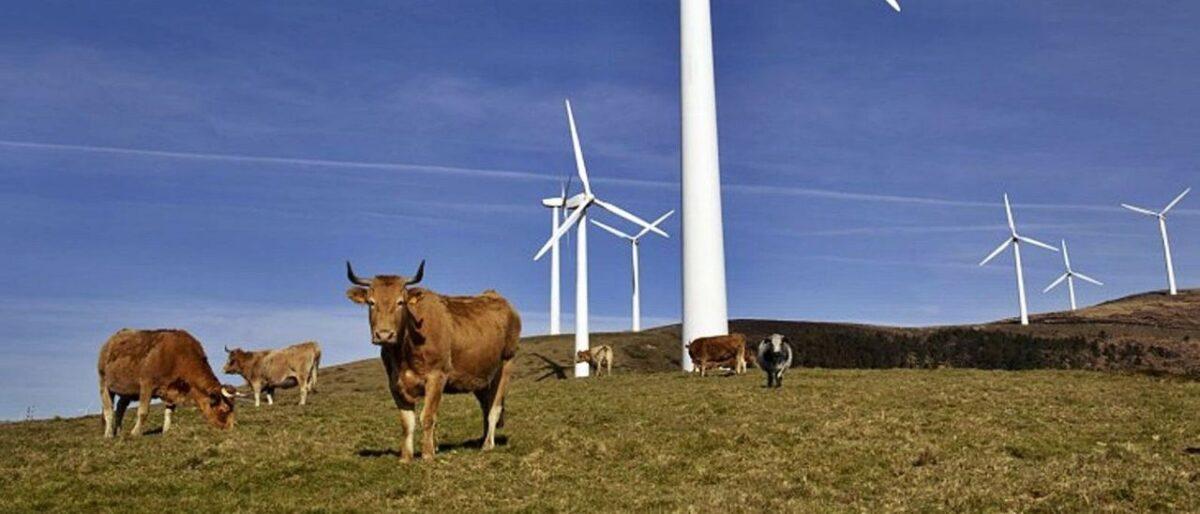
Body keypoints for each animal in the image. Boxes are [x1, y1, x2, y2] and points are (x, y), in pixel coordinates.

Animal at [97, 329, 237, 437]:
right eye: (224, 410)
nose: (230, 428)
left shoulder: (171, 390)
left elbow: (169, 412)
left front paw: (166, 431)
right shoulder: (147, 385)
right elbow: (143, 412)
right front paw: (135, 432)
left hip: (128, 390)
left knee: (120, 407)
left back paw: (119, 431)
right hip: (104, 382)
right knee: (108, 409)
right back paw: (109, 434)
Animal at [343, 260, 520, 461]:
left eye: (400, 302)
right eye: (371, 302)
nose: (384, 334)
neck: (404, 354)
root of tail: (495, 296)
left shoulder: (437, 376)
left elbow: (427, 417)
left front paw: (428, 454)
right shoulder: (395, 383)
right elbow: (407, 422)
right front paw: (406, 457)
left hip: (506, 362)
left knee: (494, 408)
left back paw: (488, 444)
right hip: (480, 376)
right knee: (486, 405)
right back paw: (482, 439)